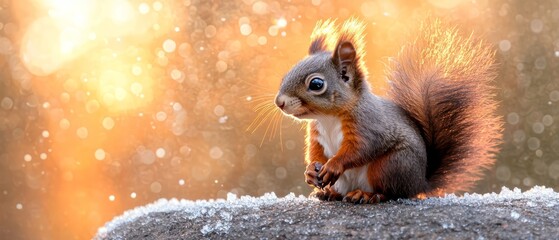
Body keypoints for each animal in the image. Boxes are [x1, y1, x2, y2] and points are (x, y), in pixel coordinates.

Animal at [274, 17, 504, 203]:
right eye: (285, 75)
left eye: (316, 84)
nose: (279, 102)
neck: (328, 119)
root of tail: (420, 183)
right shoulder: (316, 135)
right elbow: (315, 153)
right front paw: (311, 172)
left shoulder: (369, 126)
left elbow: (360, 149)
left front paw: (333, 165)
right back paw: (330, 193)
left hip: (390, 166)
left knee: (391, 192)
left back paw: (367, 195)